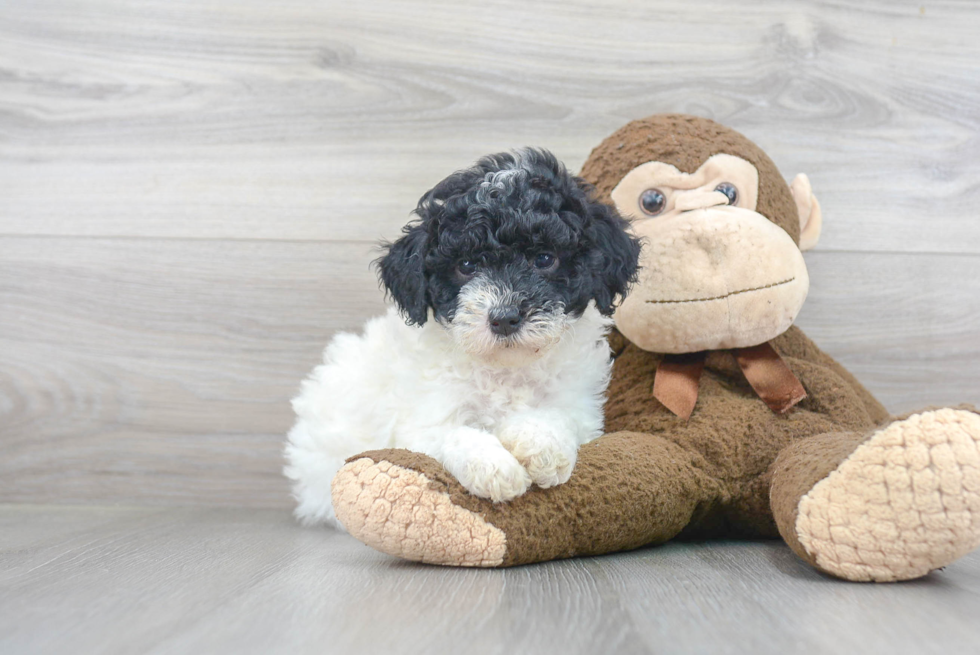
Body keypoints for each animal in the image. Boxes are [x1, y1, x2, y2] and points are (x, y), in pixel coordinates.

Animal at [282, 149, 644, 528]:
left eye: (545, 259)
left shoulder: (579, 404)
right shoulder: (423, 421)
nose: (505, 318)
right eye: (467, 266)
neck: (505, 368)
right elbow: (452, 435)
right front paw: (494, 468)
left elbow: (558, 416)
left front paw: (541, 447)